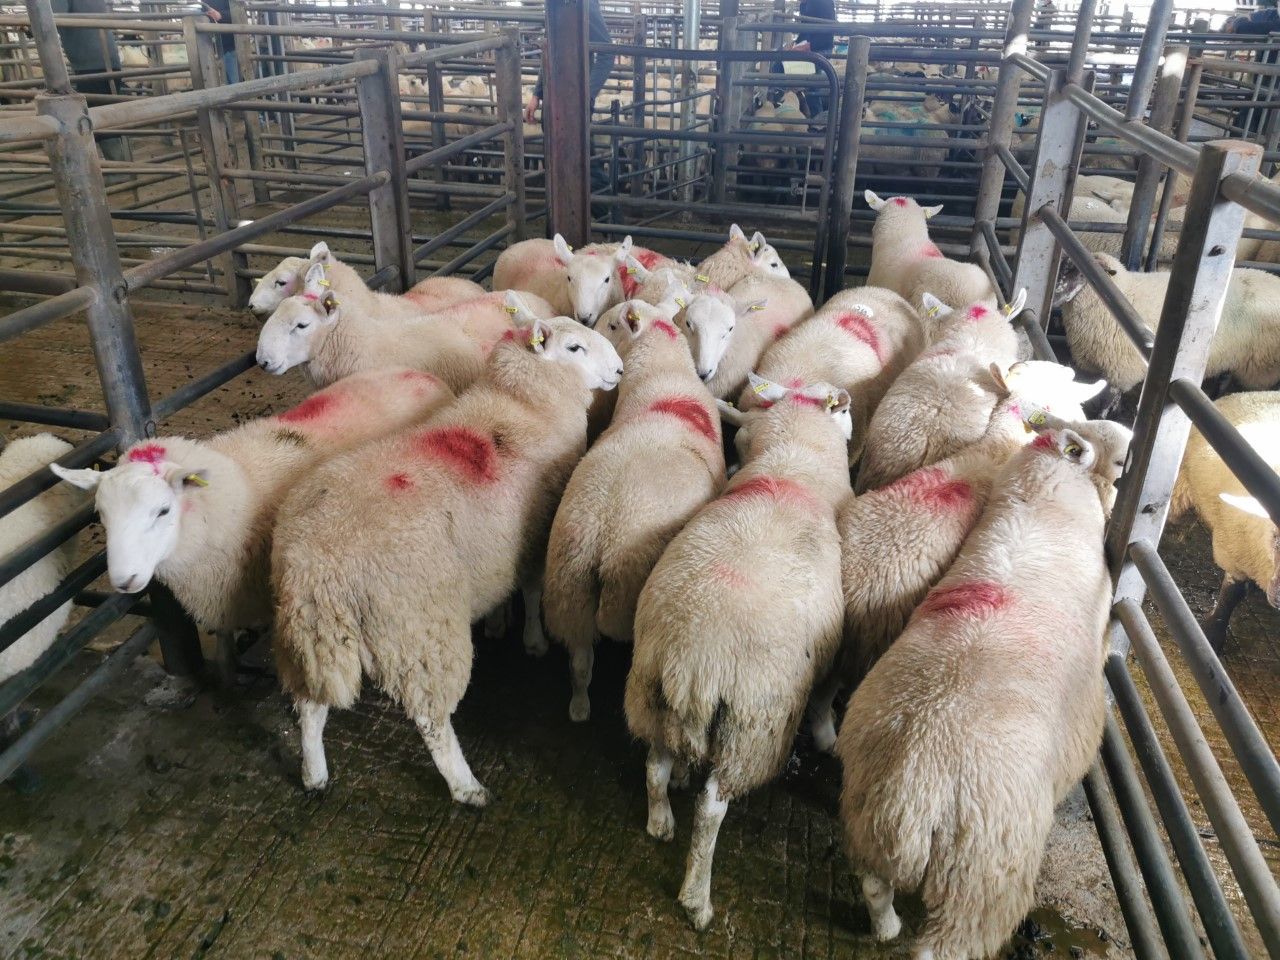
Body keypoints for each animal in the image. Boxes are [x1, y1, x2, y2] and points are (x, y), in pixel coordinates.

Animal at [51, 369, 453, 681]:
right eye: (101, 515)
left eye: (163, 510)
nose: (123, 580)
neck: (233, 490)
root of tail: (418, 373)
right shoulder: (221, 593)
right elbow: (224, 641)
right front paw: (227, 669)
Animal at [270, 317, 624, 802]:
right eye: (574, 347)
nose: (620, 369)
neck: (524, 405)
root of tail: (316, 566)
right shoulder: (537, 533)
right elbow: (532, 591)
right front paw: (533, 641)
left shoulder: (502, 544)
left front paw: (497, 621)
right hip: (420, 632)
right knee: (431, 719)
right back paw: (466, 786)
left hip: (311, 636)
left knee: (310, 706)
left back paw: (314, 774)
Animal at [543, 300, 725, 722]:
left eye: (612, 326)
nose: (613, 365)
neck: (663, 371)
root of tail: (598, 535)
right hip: (625, 589)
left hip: (568, 590)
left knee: (580, 659)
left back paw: (579, 706)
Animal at [625, 379, 852, 930]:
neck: (790, 469)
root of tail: (693, 663)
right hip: (750, 729)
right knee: (711, 810)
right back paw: (696, 898)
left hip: (650, 693)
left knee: (654, 764)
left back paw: (660, 819)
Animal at [836, 423, 1117, 960]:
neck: (1039, 500)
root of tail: (915, 787)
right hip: (983, 875)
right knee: (946, 943)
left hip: (868, 816)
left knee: (874, 886)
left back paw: (887, 929)